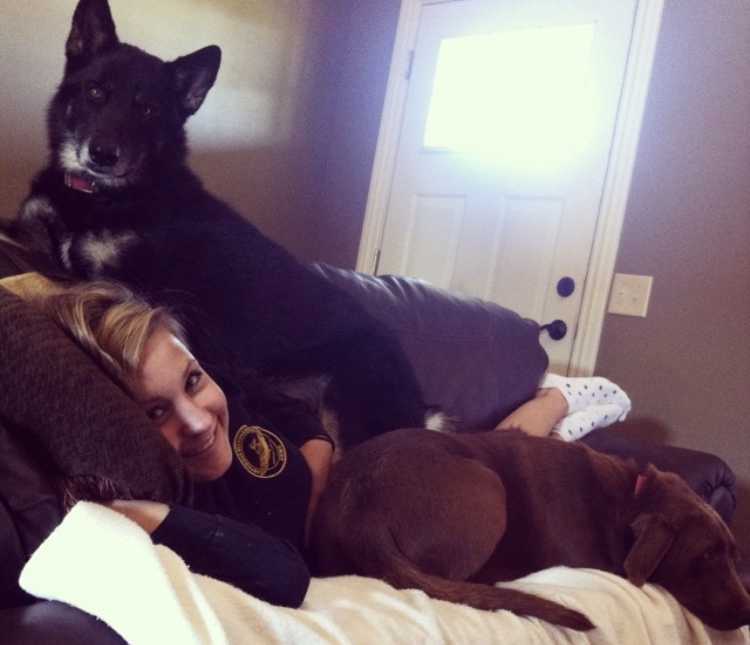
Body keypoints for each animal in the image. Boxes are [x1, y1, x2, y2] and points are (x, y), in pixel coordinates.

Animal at [10, 0, 434, 448]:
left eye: (148, 109)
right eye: (95, 92)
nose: (103, 154)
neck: (100, 197)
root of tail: (422, 406)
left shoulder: (137, 285)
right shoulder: (35, 228)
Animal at [312, 428, 750, 628]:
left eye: (733, 554)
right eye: (706, 556)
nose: (748, 613)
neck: (632, 499)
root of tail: (360, 508)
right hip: (489, 486)